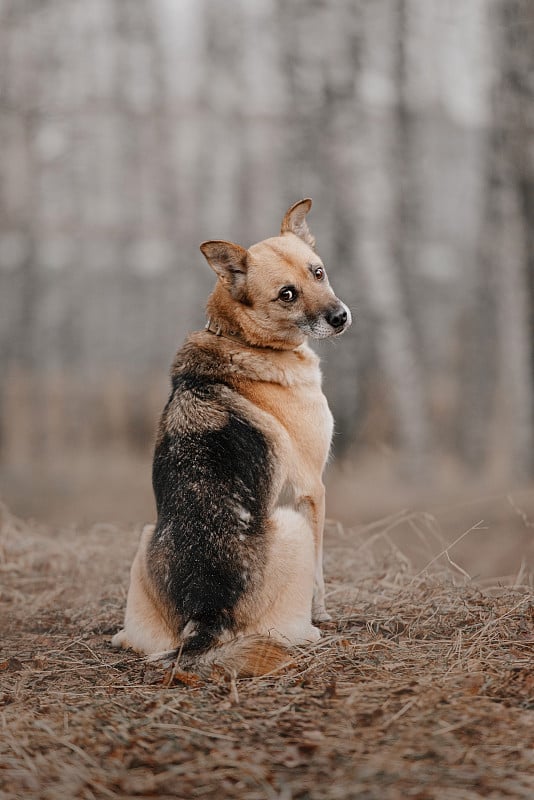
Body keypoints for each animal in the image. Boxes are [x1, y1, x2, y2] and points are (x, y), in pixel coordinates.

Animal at [114, 198, 352, 676]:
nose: (340, 318)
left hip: (145, 537)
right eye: (286, 294)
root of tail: (207, 611)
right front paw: (323, 613)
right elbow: (320, 574)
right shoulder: (312, 490)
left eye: (317, 272)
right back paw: (311, 632)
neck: (242, 338)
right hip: (293, 525)